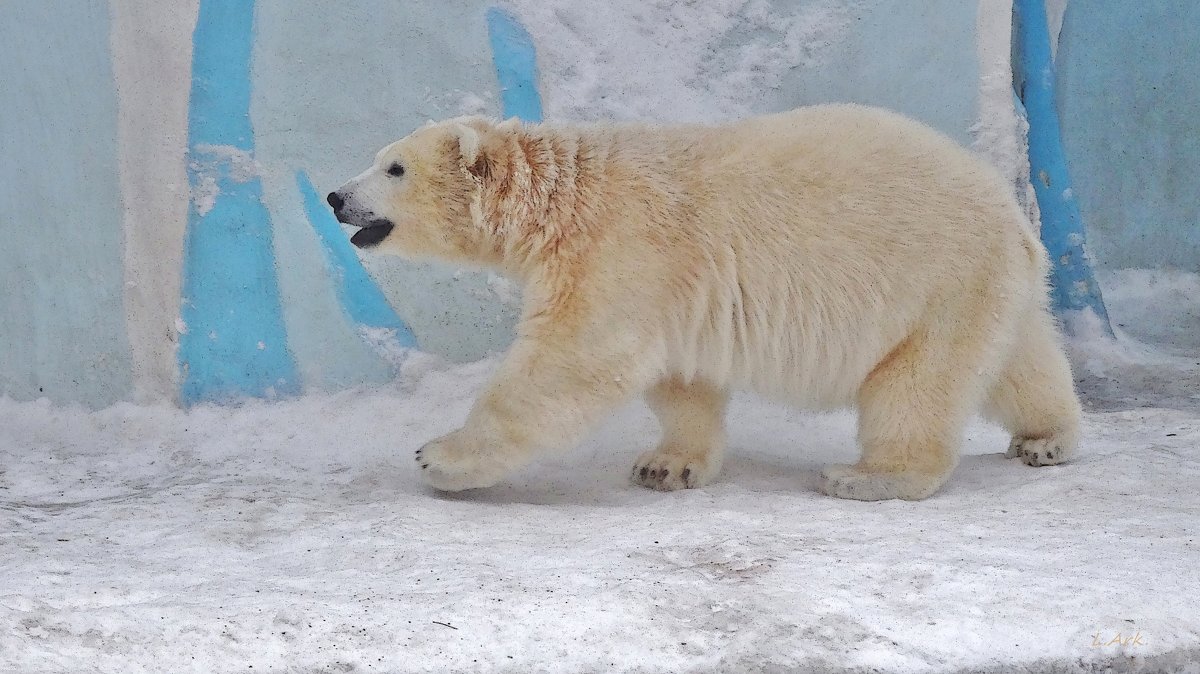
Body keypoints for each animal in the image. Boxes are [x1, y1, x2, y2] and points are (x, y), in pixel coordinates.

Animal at [331, 103, 1089, 494]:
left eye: (393, 166)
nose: (337, 197)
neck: (564, 203)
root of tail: (1017, 218)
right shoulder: (674, 289)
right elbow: (680, 380)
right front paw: (666, 464)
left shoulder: (622, 252)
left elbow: (568, 364)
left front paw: (439, 456)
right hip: (987, 287)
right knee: (1020, 361)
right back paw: (1046, 437)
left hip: (934, 282)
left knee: (914, 387)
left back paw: (866, 474)